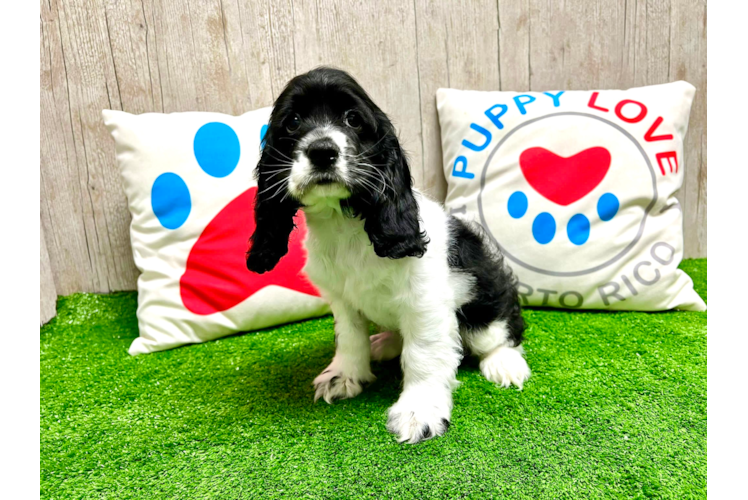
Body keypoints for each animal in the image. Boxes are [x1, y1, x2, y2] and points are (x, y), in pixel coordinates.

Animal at [248, 65, 528, 442]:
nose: (322, 150)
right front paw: (344, 376)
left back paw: (504, 363)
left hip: (484, 307)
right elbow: (349, 339)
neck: (345, 225)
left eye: (352, 119)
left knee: (502, 332)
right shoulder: (342, 300)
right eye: (292, 122)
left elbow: (422, 355)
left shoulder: (424, 303)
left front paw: (418, 411)